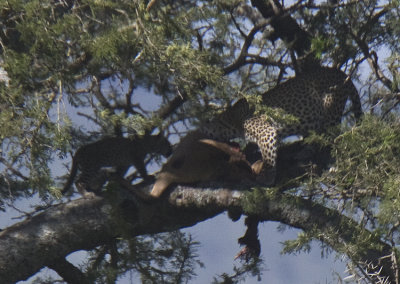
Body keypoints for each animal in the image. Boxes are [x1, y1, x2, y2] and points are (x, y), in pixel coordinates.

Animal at [200, 66, 362, 182]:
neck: (231, 119)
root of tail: (341, 73)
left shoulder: (267, 131)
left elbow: (268, 157)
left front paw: (267, 177)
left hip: (330, 108)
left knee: (332, 139)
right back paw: (305, 151)